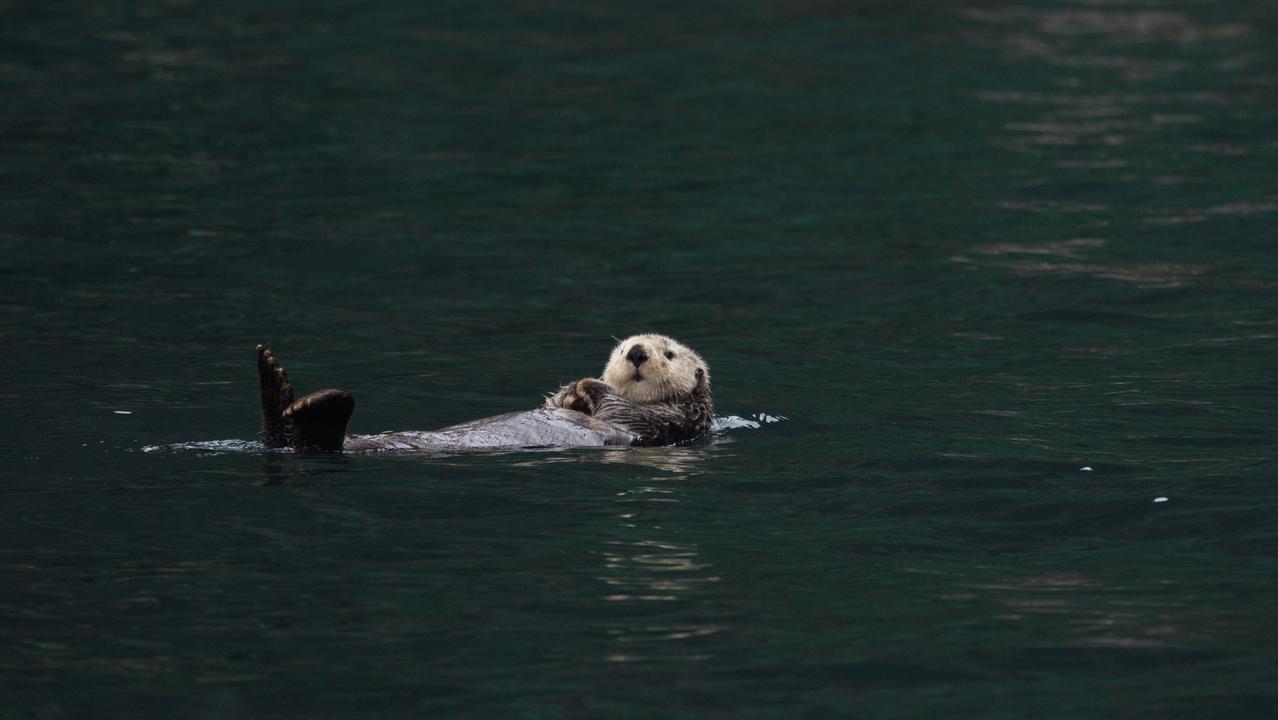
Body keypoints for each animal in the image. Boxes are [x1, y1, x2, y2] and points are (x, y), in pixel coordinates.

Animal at [257, 334, 713, 452]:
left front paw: (586, 386)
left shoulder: (665, 422)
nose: (636, 352)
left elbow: (619, 409)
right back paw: (273, 378)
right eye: (622, 349)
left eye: (669, 353)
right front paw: (570, 393)